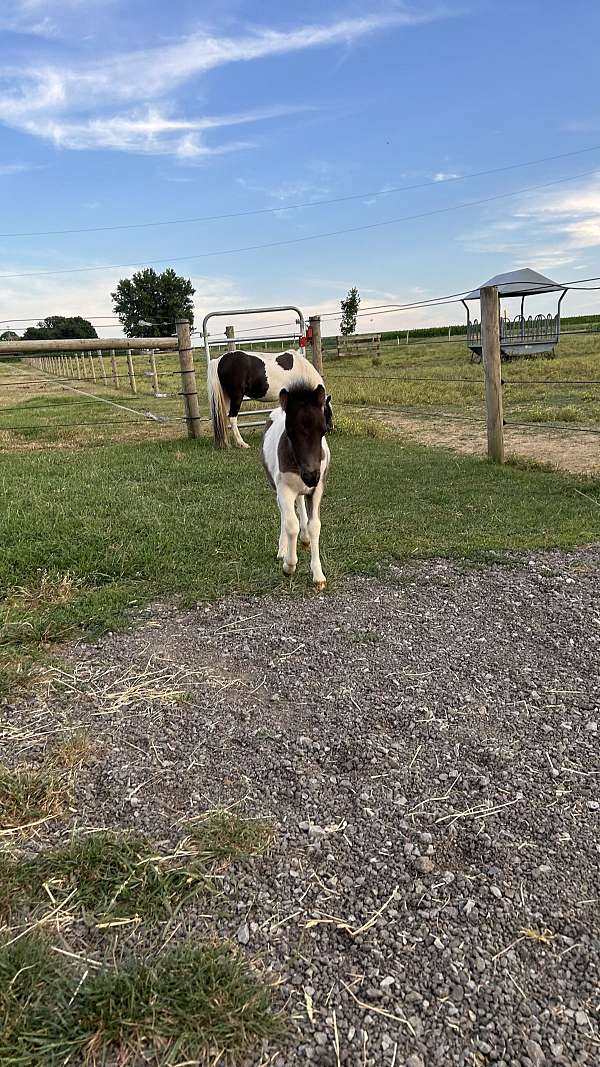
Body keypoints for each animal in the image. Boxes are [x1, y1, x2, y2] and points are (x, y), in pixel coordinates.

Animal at [259, 384, 328, 593]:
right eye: (289, 432)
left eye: (323, 430)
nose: (311, 476)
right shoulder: (284, 489)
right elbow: (291, 524)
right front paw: (289, 565)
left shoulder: (317, 489)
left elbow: (314, 526)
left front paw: (318, 576)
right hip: (278, 488)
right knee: (285, 514)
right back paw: (283, 550)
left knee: (300, 504)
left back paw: (304, 539)